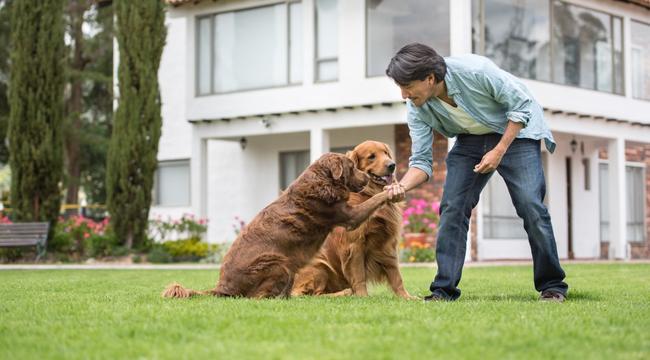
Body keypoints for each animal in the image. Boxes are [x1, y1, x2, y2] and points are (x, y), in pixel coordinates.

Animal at [162, 152, 390, 298]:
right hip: (278, 262)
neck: (324, 181)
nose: (367, 177)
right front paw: (389, 192)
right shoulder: (347, 215)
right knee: (259, 297)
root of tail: (222, 288)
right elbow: (373, 201)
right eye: (352, 167)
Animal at [292, 140, 412, 298]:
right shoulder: (353, 244)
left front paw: (406, 297)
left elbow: (396, 275)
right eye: (371, 156)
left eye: (386, 153)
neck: (368, 194)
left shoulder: (387, 243)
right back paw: (345, 292)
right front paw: (363, 297)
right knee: (311, 294)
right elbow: (359, 275)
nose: (392, 165)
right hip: (319, 264)